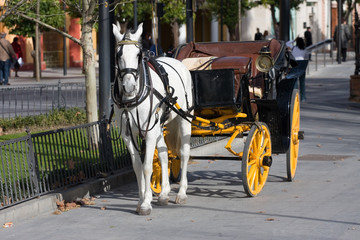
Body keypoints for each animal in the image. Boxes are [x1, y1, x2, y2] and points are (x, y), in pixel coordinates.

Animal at [112, 23, 194, 216]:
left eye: (138, 54)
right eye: (118, 54)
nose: (128, 86)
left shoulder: (148, 132)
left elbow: (147, 166)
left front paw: (145, 203)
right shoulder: (128, 135)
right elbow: (137, 166)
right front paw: (142, 198)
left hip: (184, 119)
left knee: (184, 153)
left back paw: (182, 192)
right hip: (159, 126)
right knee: (164, 154)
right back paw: (164, 193)